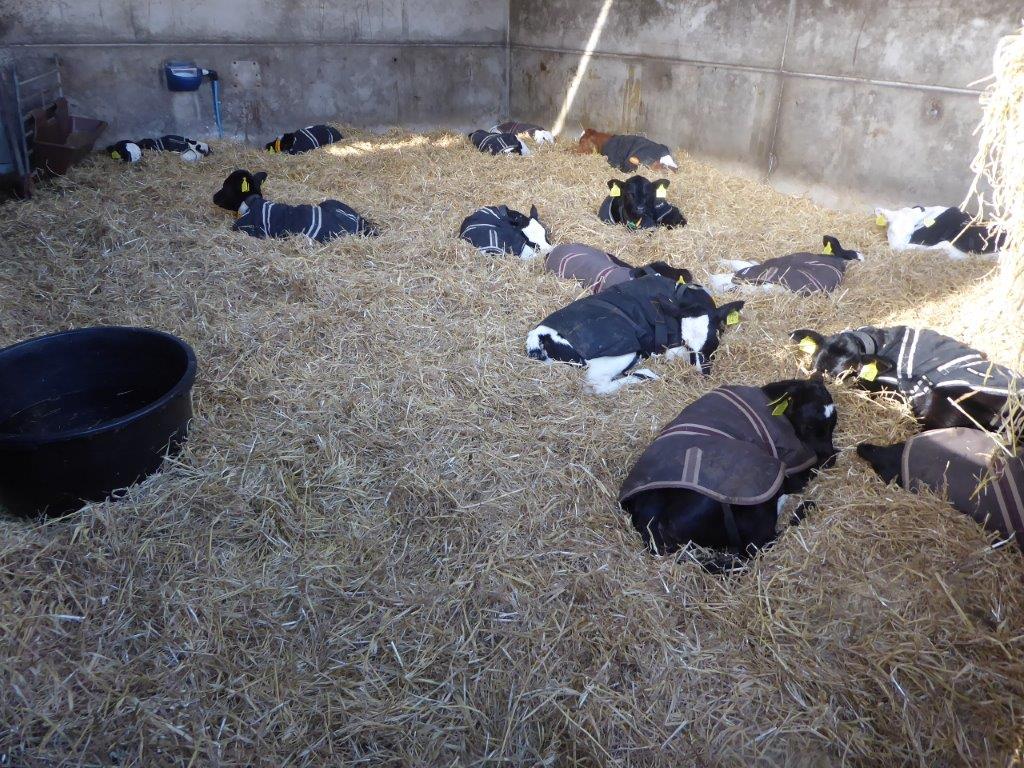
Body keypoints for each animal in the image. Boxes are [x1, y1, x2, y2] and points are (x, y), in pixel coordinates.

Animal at [526, 275, 744, 394]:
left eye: (712, 343)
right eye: (688, 344)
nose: (702, 374)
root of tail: (540, 336)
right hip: (620, 348)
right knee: (597, 385)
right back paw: (644, 375)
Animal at [619, 378, 839, 572]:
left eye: (833, 426)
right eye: (808, 426)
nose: (830, 457)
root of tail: (654, 527)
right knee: (758, 545)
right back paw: (804, 507)